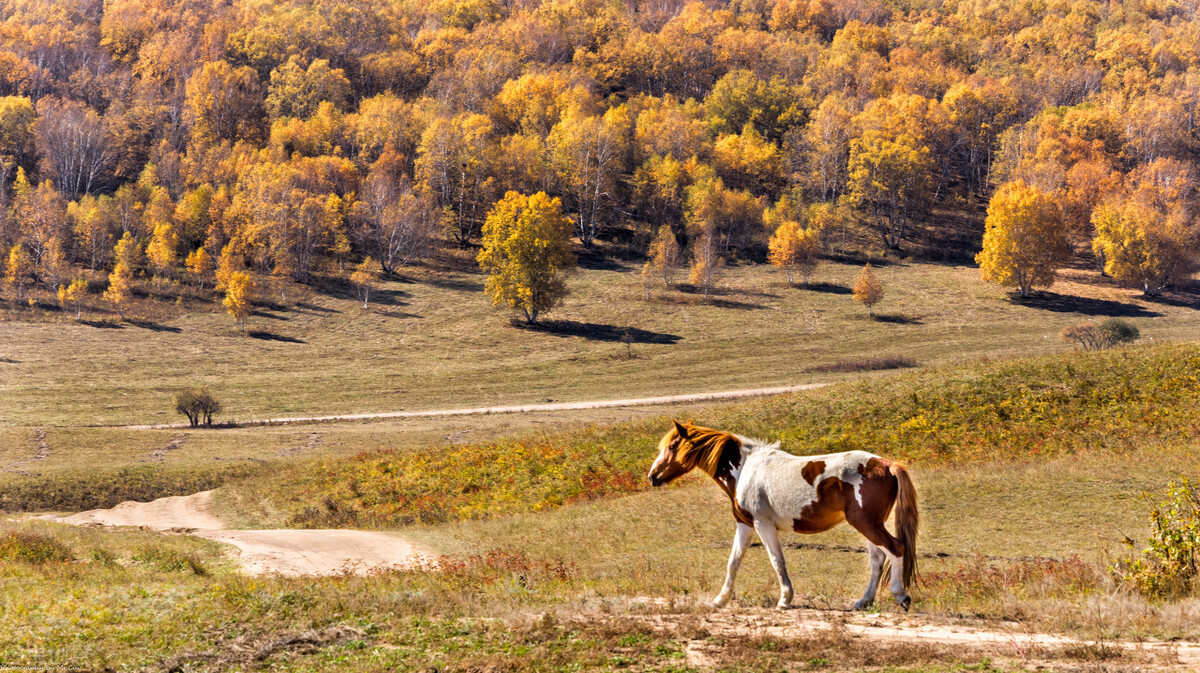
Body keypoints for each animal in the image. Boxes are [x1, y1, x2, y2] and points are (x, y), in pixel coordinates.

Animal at [648, 422, 916, 611]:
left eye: (671, 447)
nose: (653, 476)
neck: (744, 468)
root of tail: (886, 464)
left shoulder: (762, 525)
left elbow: (777, 561)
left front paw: (785, 599)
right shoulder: (744, 525)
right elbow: (733, 562)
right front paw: (720, 600)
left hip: (866, 524)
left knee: (895, 548)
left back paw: (900, 595)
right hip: (869, 525)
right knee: (877, 558)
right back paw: (863, 601)